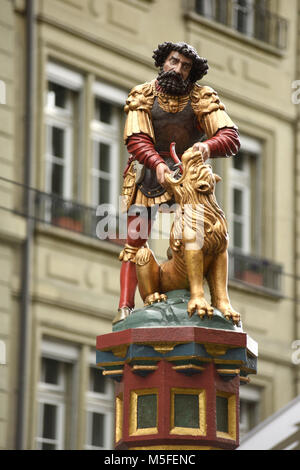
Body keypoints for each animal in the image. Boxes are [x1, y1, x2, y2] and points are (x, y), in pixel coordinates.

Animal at [135, 149, 240, 324]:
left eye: (201, 167)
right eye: (197, 167)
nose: (195, 149)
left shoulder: (221, 253)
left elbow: (220, 285)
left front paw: (228, 312)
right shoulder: (193, 249)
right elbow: (196, 279)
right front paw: (201, 307)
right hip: (148, 263)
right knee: (143, 257)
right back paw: (155, 297)